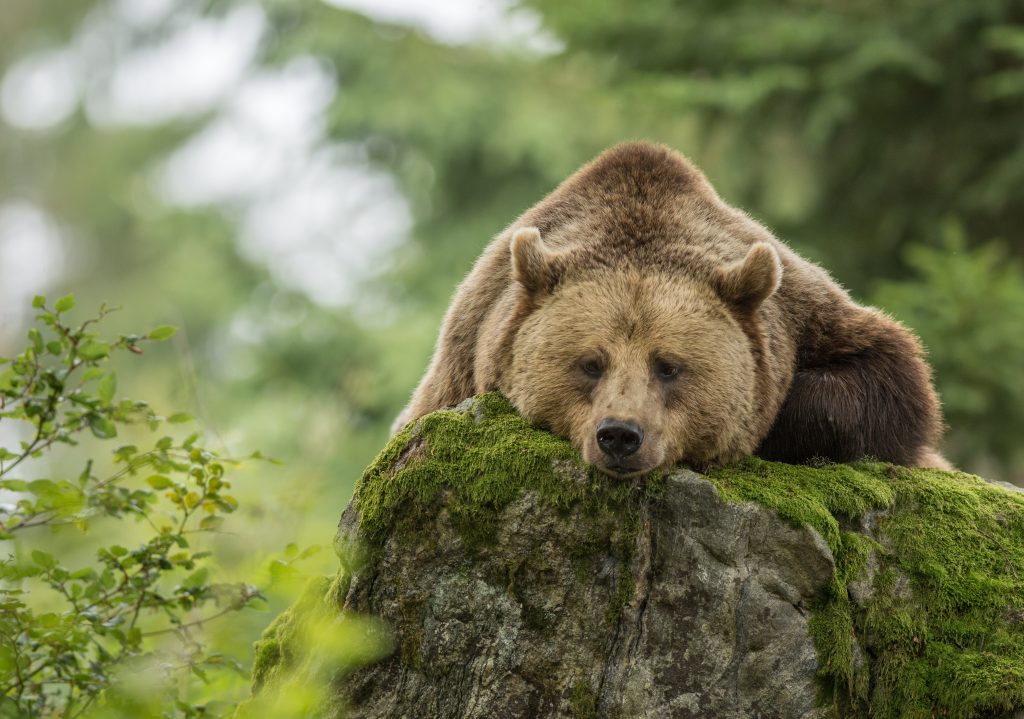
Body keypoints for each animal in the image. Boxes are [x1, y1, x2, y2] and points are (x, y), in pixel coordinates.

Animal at [393, 141, 948, 477]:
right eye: (590, 363)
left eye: (668, 366)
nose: (620, 435)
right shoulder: (465, 355)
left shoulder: (806, 313)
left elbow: (886, 376)